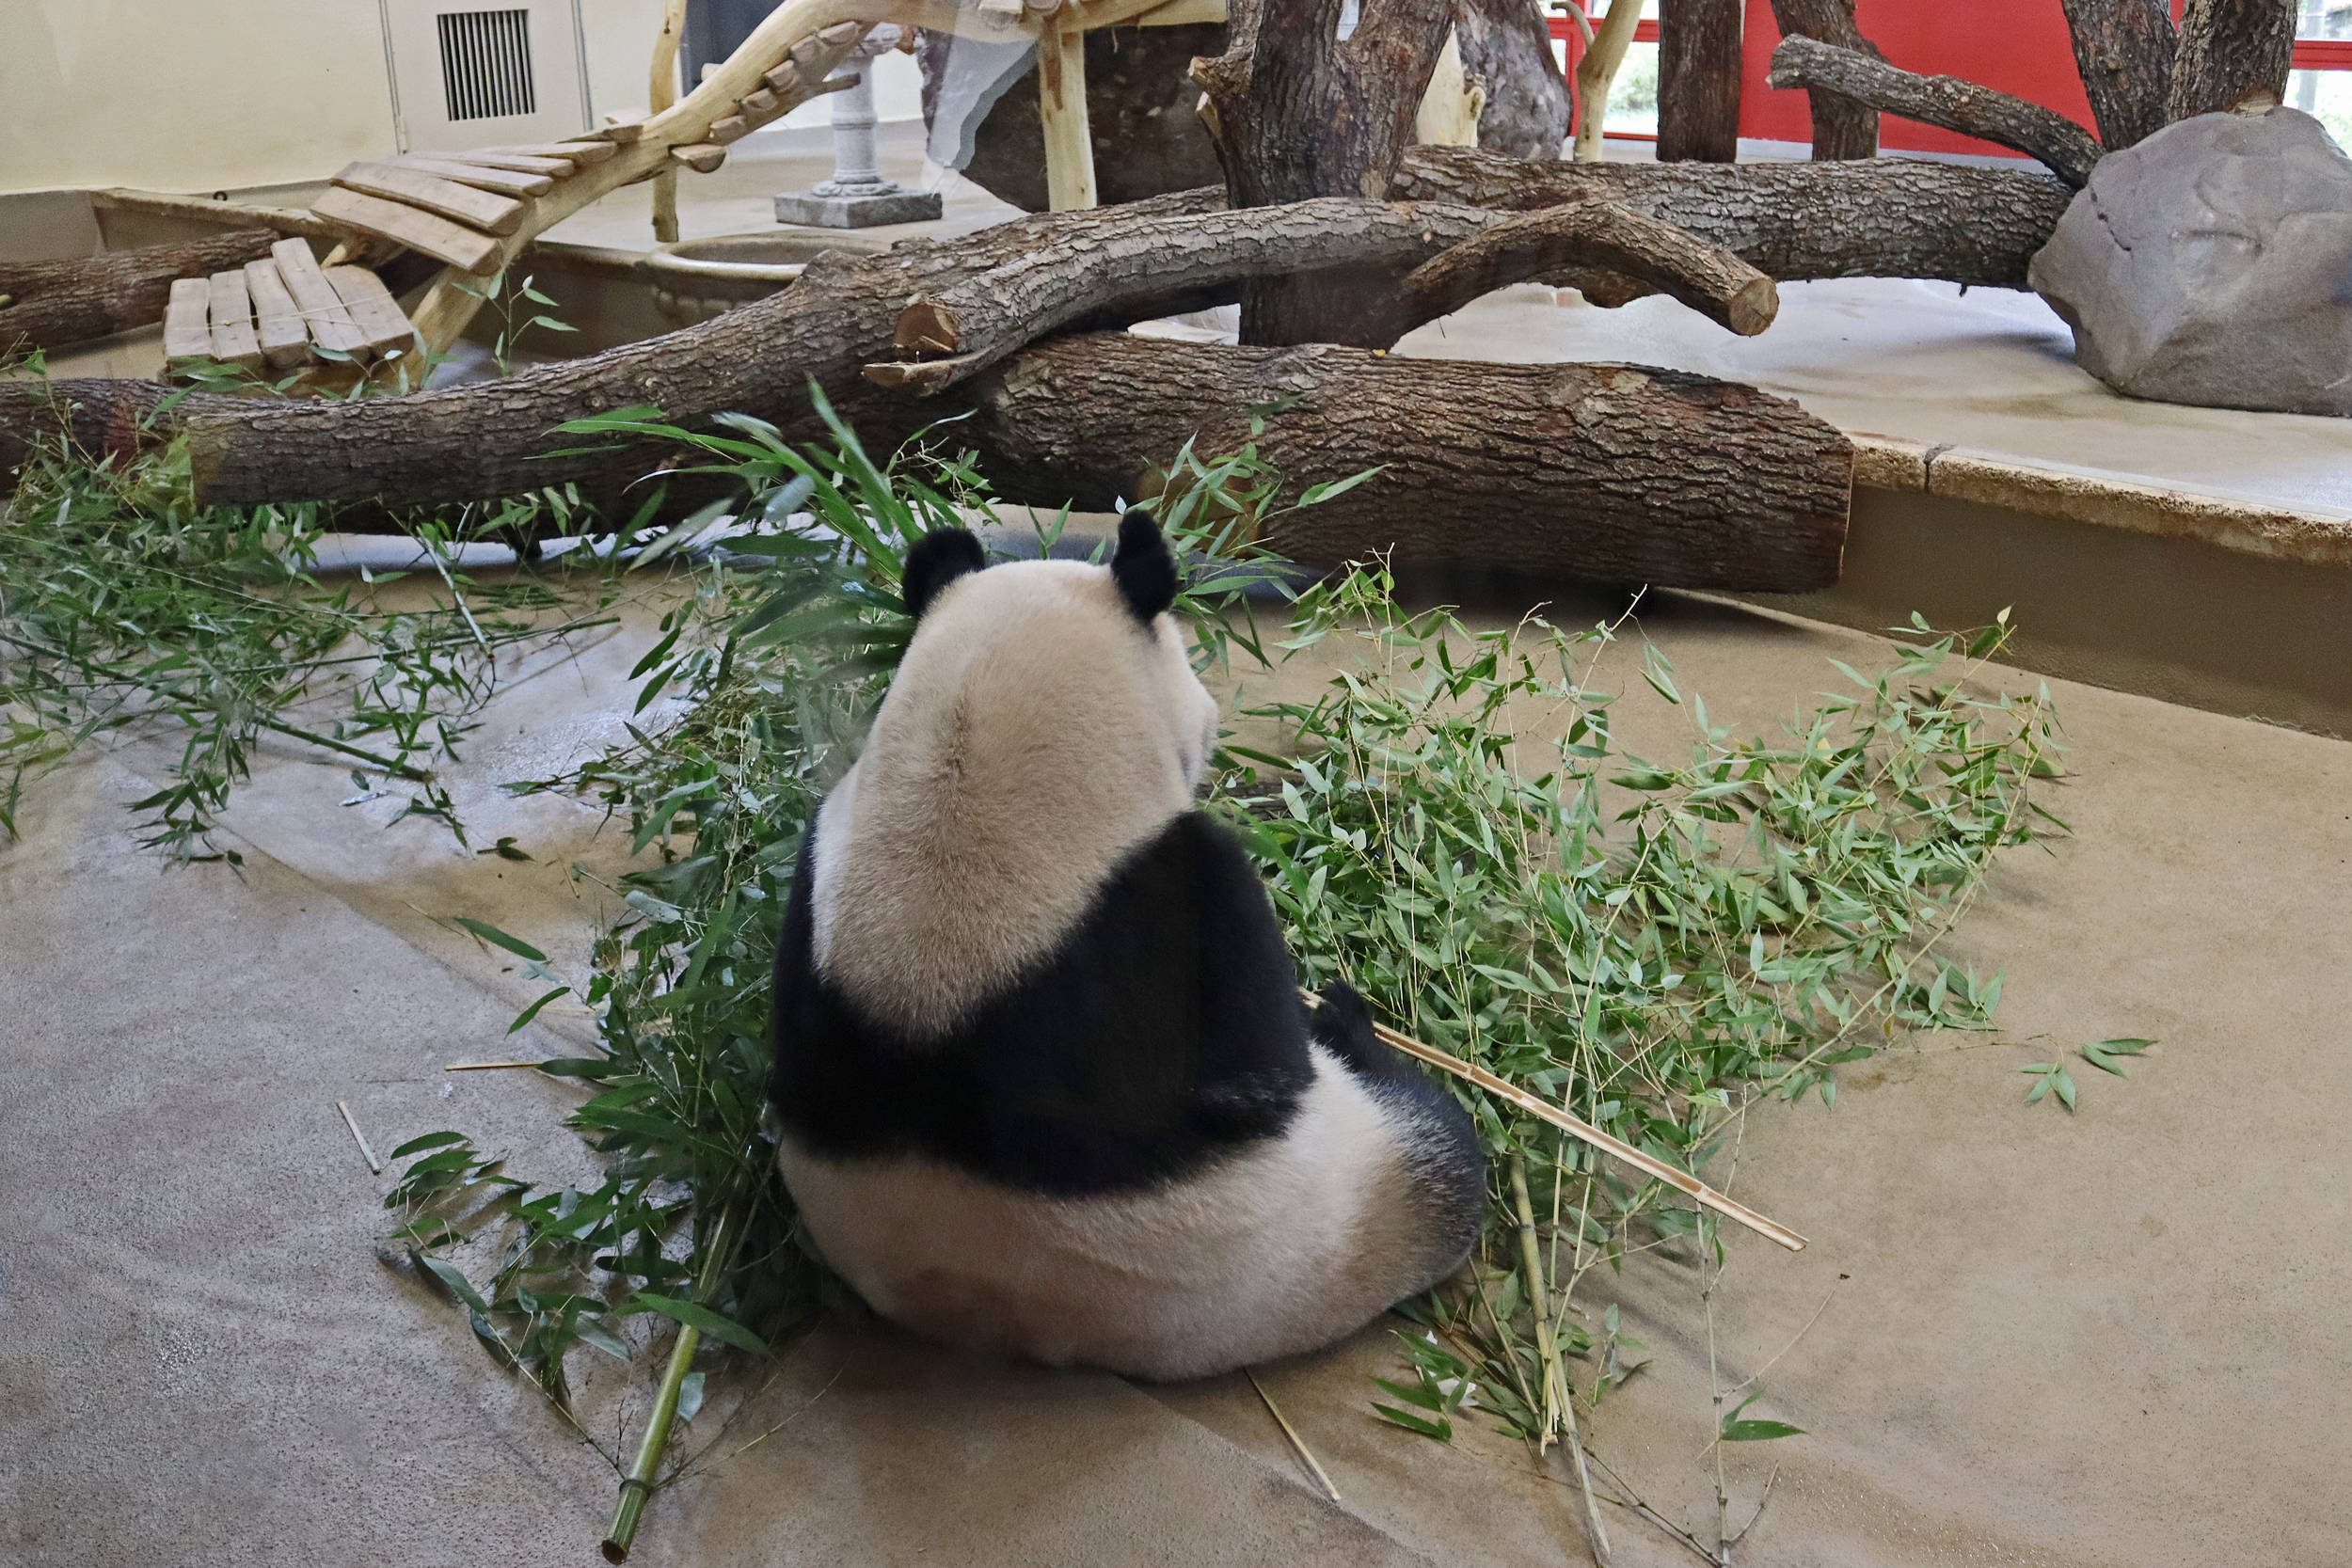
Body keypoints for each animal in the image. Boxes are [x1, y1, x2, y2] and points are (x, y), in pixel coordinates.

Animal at [769, 510, 1485, 1381]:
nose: (1212, 724)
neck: (955, 793)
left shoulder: (818, 881)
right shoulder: (1184, 907)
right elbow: (1260, 1068)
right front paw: (1329, 1012)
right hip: (1365, 1201)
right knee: (1445, 1148)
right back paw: (1358, 1029)